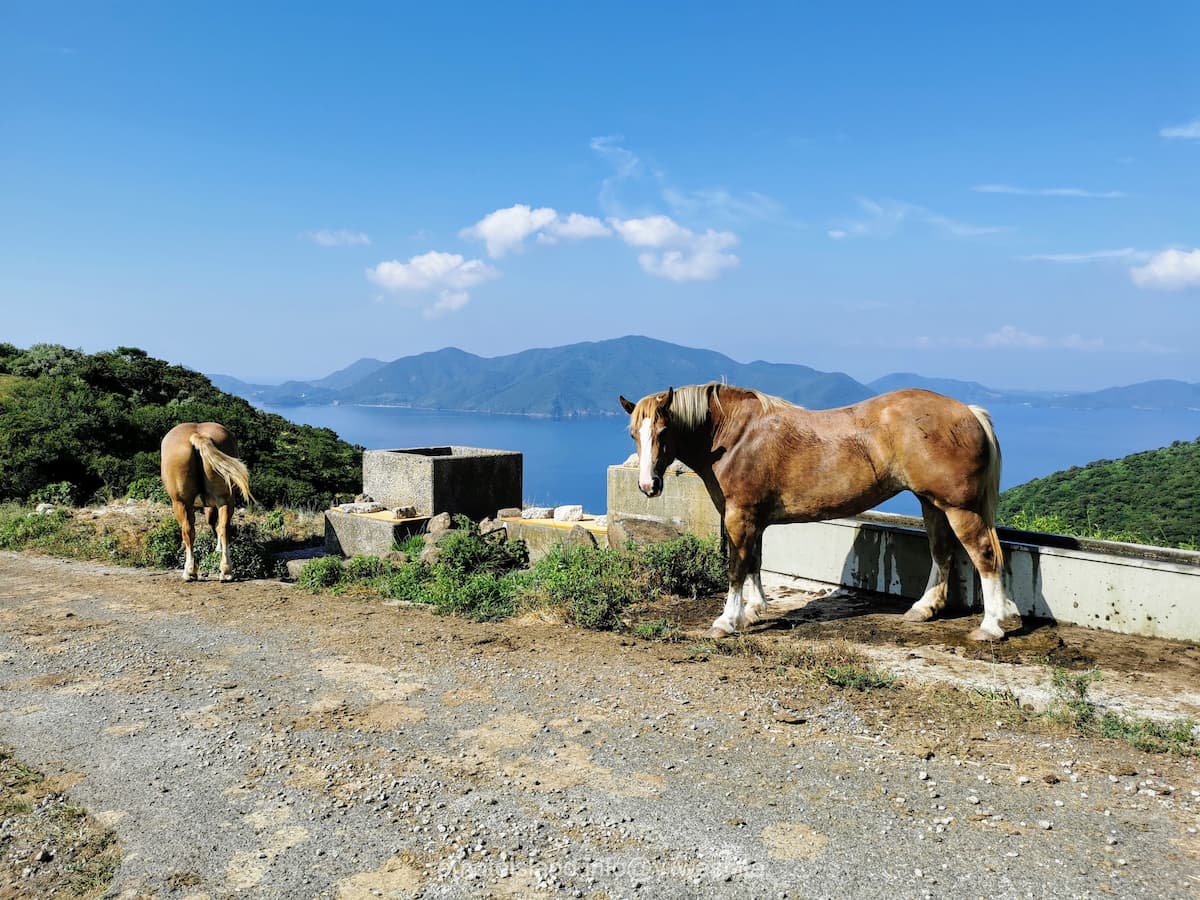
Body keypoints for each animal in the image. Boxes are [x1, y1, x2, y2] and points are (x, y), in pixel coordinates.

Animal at [160, 422, 253, 582]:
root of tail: (199, 435)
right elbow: (214, 523)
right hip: (225, 498)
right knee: (223, 528)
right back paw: (226, 571)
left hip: (181, 502)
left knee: (188, 530)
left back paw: (190, 571)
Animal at [619, 383, 1022, 642]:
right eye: (633, 434)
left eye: (663, 431)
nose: (648, 485)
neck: (735, 436)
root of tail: (968, 411)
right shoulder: (753, 518)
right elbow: (754, 562)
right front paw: (754, 609)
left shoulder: (740, 515)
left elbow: (736, 567)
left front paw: (727, 620)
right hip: (932, 503)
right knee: (942, 551)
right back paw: (925, 608)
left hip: (959, 507)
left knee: (984, 555)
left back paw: (991, 626)